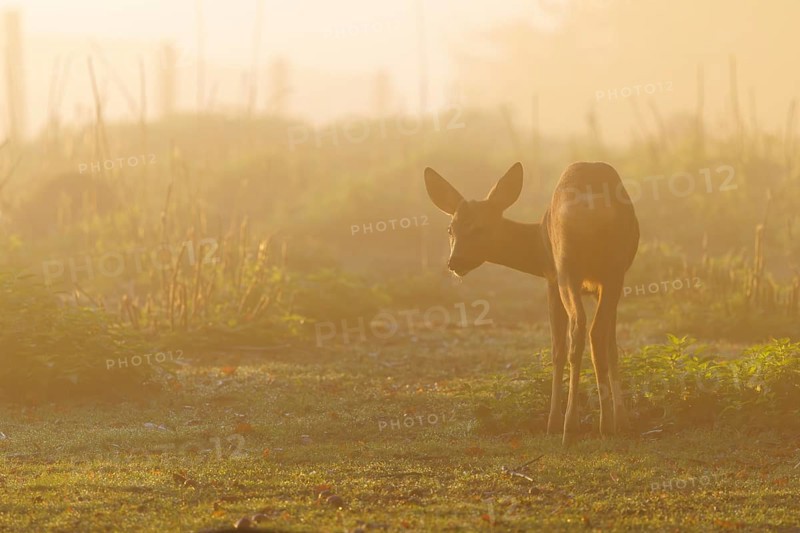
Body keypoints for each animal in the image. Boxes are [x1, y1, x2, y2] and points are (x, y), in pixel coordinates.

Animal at [424, 161, 639, 445]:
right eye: (451, 229)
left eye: (480, 227)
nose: (455, 262)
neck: (537, 243)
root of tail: (592, 206)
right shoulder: (605, 285)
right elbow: (613, 347)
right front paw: (624, 421)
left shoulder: (551, 276)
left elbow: (557, 348)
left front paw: (553, 422)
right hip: (612, 271)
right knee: (597, 333)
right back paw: (607, 423)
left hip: (567, 269)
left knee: (579, 330)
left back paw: (575, 426)